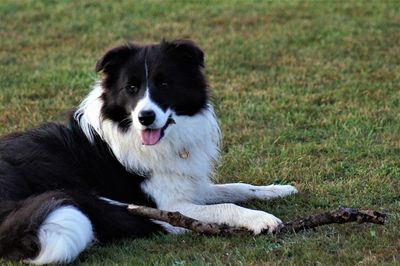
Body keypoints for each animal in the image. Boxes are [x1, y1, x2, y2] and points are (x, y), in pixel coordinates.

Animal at [0, 39, 296, 264]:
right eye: (131, 88)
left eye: (164, 84)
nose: (145, 117)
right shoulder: (170, 205)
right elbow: (226, 205)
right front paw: (261, 219)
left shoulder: (187, 184)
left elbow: (238, 187)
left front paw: (277, 190)